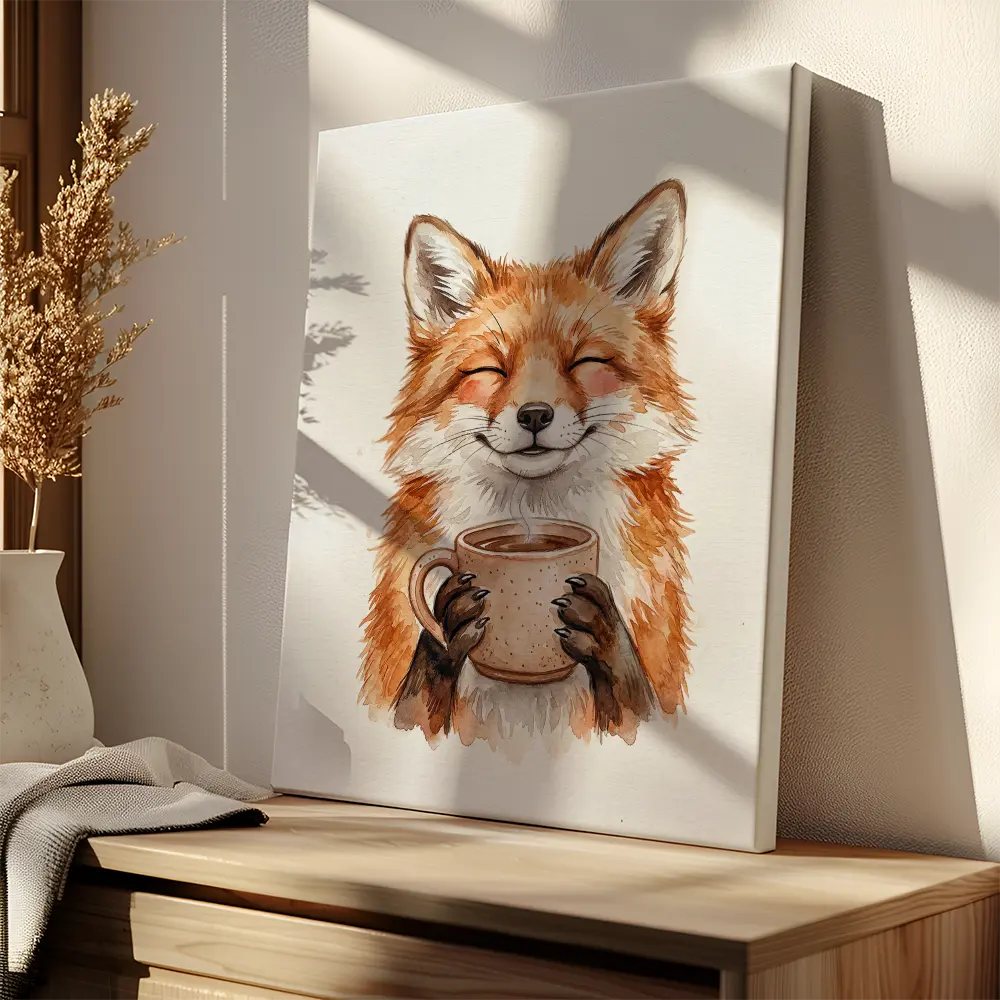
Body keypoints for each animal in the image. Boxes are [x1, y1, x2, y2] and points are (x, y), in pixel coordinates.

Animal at [359, 180, 695, 749]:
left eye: (585, 361)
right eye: (492, 370)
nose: (534, 414)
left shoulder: (655, 702)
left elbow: (636, 706)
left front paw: (604, 637)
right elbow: (415, 707)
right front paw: (448, 628)